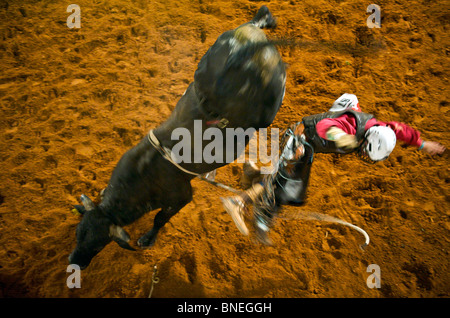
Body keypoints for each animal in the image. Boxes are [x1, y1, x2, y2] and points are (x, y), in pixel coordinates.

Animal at [67, 5, 284, 268]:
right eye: (78, 233)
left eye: (99, 245)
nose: (74, 261)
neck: (144, 175)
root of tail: (246, 45)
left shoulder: (180, 198)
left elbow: (159, 220)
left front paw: (147, 239)